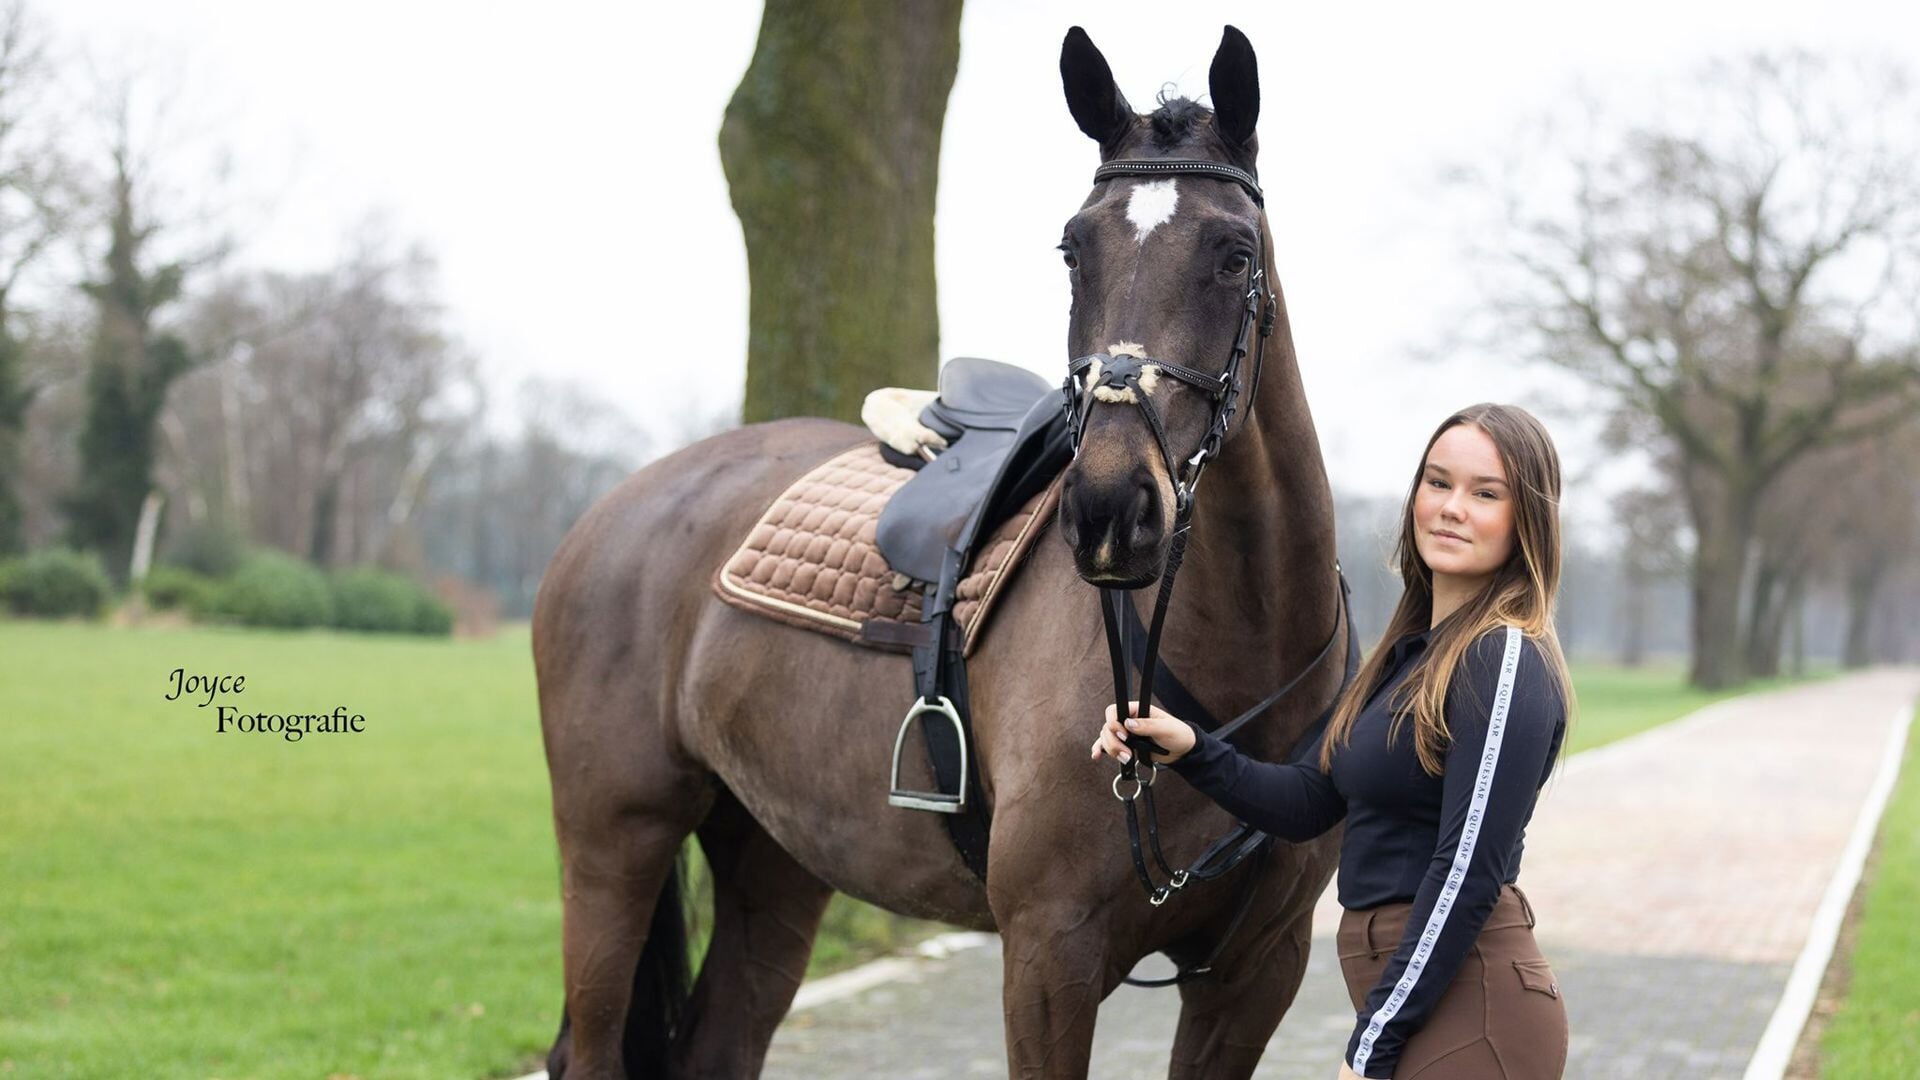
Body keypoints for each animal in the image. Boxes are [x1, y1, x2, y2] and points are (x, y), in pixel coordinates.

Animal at [537, 25, 1351, 1076]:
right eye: (1072, 249)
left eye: (1232, 253)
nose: (1109, 507)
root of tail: (620, 506)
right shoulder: (1049, 956)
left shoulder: (1256, 973)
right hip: (613, 844)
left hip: (773, 854)